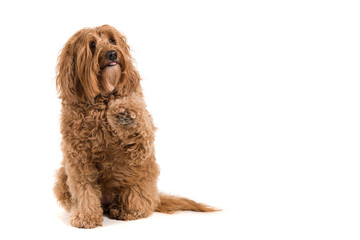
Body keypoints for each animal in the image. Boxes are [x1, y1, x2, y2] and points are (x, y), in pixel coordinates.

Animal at [53, 24, 217, 229]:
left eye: (112, 40)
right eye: (92, 45)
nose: (112, 54)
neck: (102, 99)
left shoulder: (141, 146)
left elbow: (137, 124)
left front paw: (123, 110)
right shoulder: (78, 158)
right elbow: (83, 187)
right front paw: (86, 215)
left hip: (142, 177)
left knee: (142, 202)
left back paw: (127, 210)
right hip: (62, 175)